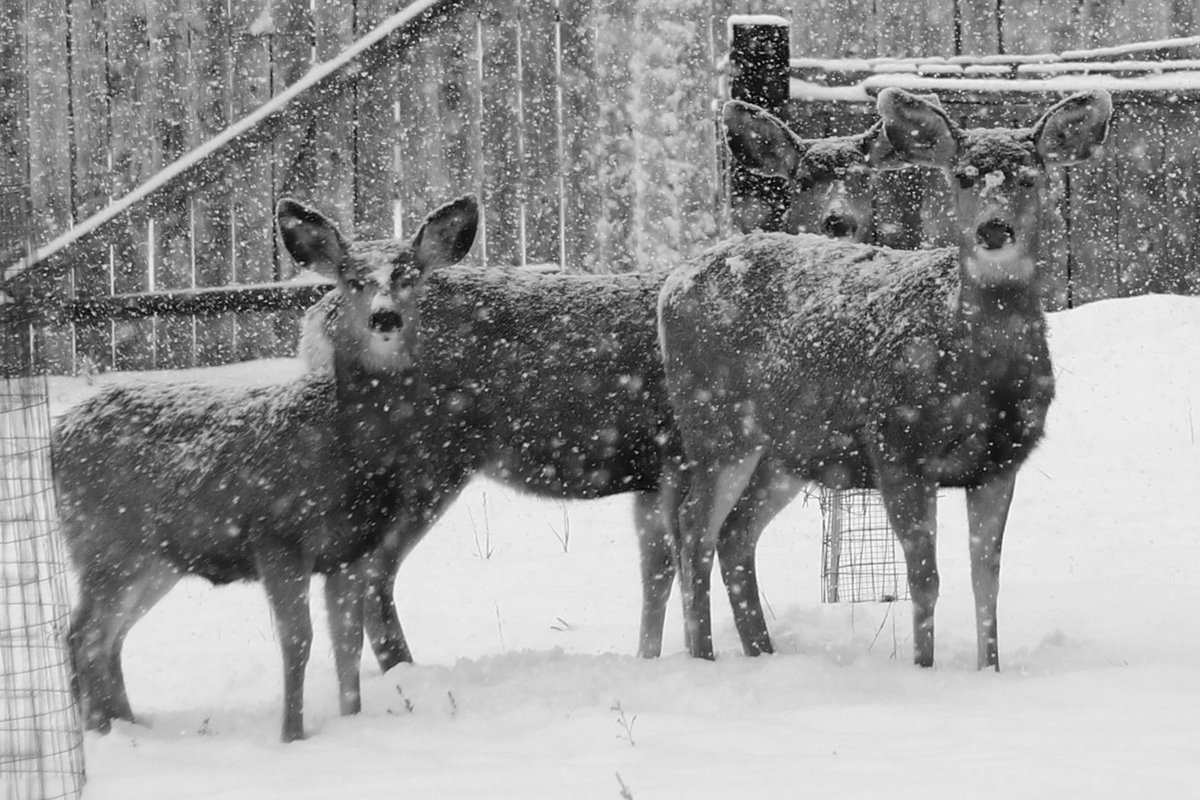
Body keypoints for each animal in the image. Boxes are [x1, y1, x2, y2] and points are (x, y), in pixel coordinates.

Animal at [53, 195, 478, 742]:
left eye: (410, 275)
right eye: (352, 279)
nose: (384, 318)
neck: (345, 452)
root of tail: (57, 435)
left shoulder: (350, 551)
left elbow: (347, 645)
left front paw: (351, 722)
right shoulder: (276, 536)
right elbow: (298, 642)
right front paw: (292, 736)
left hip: (155, 558)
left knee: (108, 636)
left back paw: (128, 724)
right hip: (105, 542)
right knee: (82, 633)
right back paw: (99, 732)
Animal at [657, 87, 1112, 668]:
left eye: (1031, 177)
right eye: (963, 176)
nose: (994, 229)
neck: (977, 373)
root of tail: (673, 284)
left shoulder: (998, 461)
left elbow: (986, 580)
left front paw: (990, 669)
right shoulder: (898, 446)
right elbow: (925, 578)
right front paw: (923, 667)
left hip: (790, 449)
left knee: (735, 531)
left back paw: (763, 651)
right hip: (717, 423)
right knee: (694, 529)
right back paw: (706, 657)